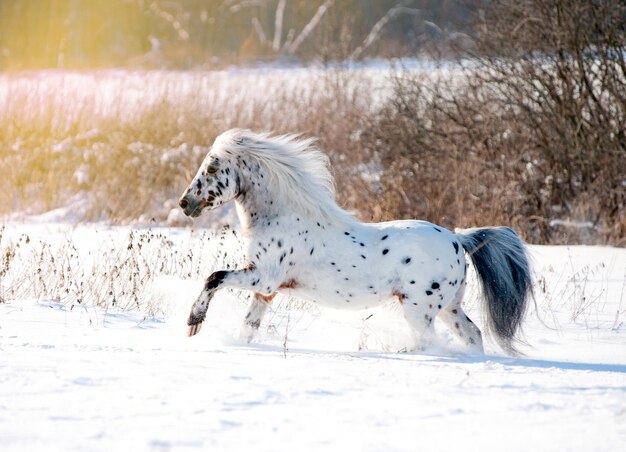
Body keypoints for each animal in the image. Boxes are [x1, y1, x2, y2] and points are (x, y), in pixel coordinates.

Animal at [177, 129, 532, 354]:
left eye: (212, 168)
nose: (185, 203)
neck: (282, 216)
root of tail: (460, 240)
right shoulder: (267, 292)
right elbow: (248, 326)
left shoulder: (262, 278)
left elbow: (214, 277)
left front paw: (193, 324)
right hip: (449, 306)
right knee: (471, 335)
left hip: (419, 307)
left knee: (427, 342)